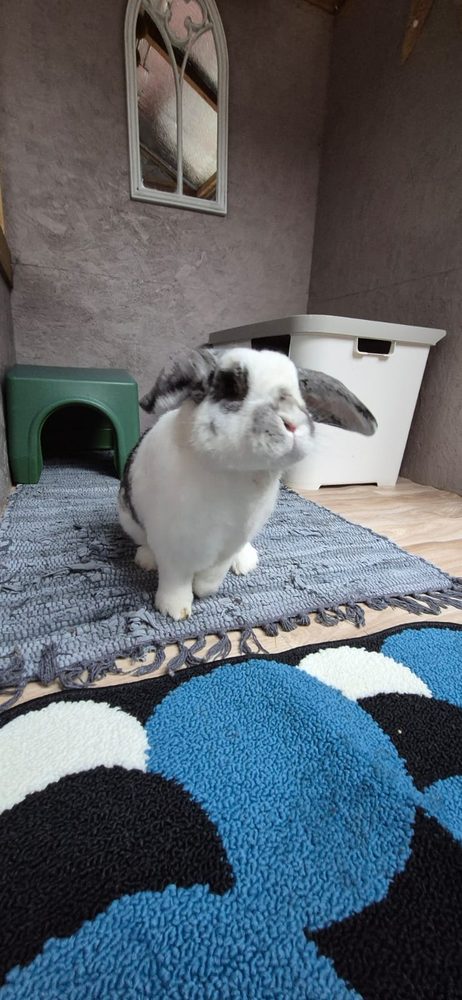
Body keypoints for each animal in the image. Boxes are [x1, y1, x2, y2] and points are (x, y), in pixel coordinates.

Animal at [118, 347, 377, 621]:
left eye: (301, 394)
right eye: (232, 387)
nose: (292, 422)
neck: (237, 473)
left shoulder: (230, 543)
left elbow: (212, 576)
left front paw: (203, 591)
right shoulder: (171, 546)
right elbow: (175, 580)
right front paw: (174, 611)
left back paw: (246, 563)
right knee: (143, 541)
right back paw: (146, 560)